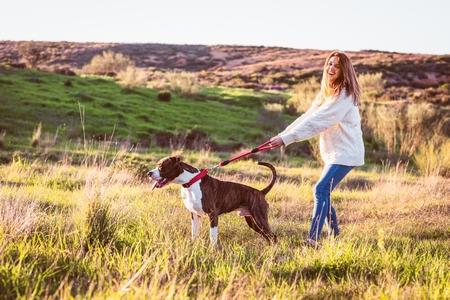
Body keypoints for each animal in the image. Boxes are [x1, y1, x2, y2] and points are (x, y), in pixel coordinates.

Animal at [148, 157, 276, 246]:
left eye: (161, 167)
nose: (149, 173)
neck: (191, 182)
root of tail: (260, 192)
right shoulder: (194, 215)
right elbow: (194, 233)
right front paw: (193, 246)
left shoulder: (212, 215)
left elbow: (213, 236)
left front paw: (212, 251)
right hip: (253, 222)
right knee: (268, 236)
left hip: (259, 218)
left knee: (273, 236)